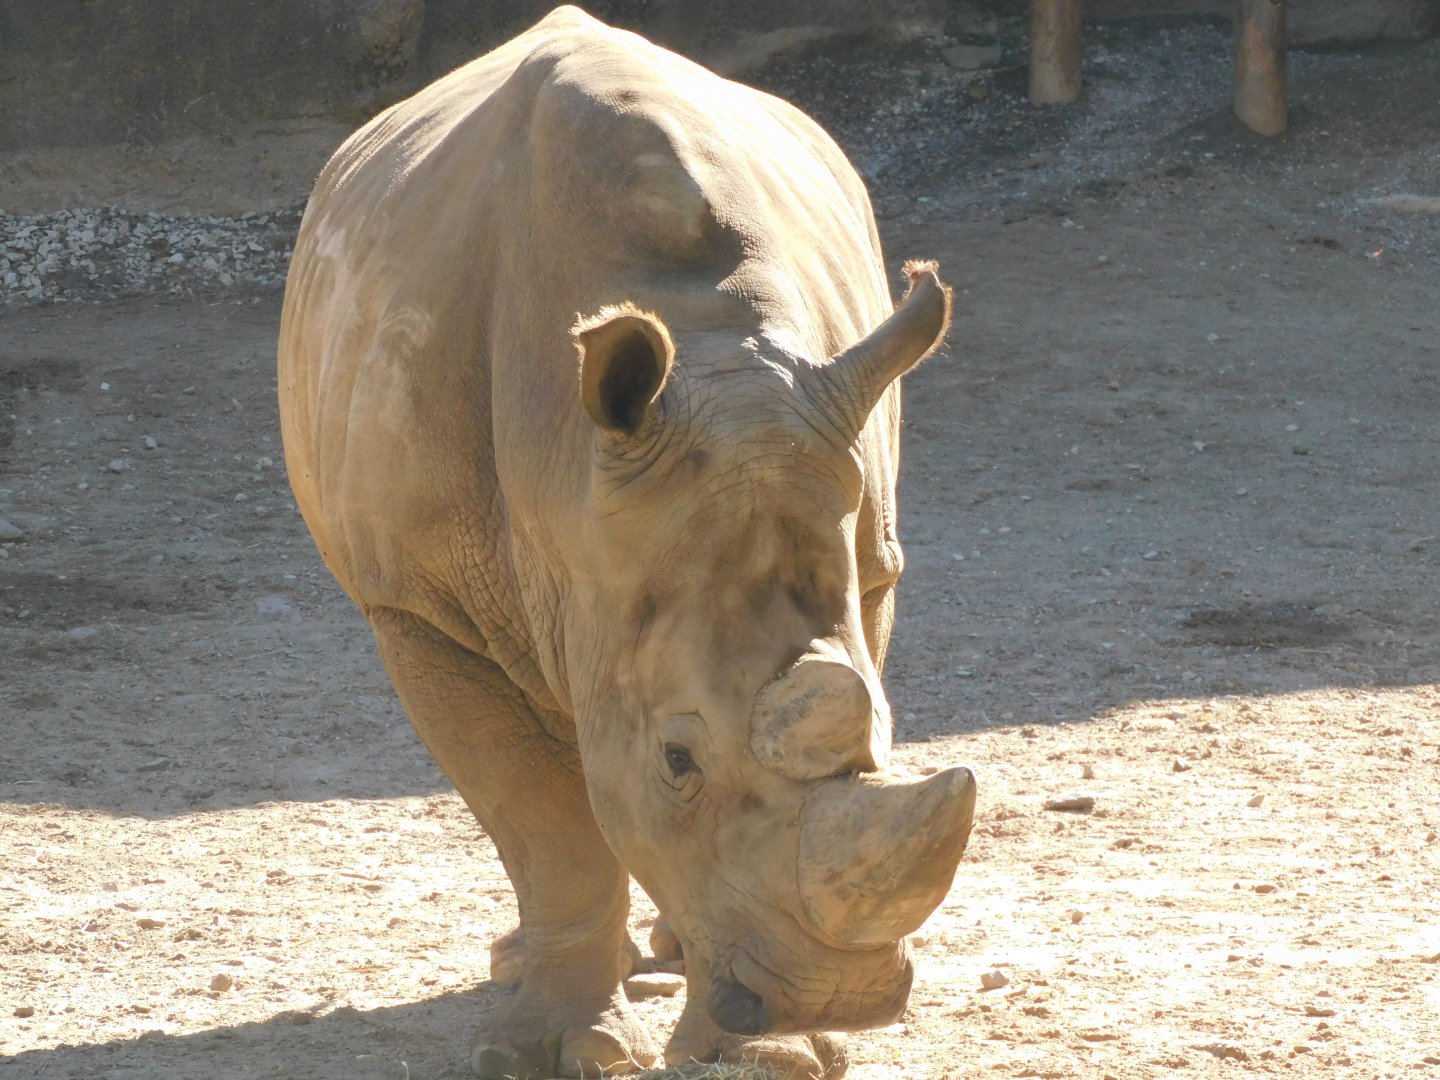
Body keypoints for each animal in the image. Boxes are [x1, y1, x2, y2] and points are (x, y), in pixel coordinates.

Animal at [278, 6, 976, 1078]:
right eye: (676, 762)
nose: (843, 1000)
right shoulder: (421, 608)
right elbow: (545, 826)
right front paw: (563, 1046)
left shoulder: (868, 566)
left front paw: (768, 1053)